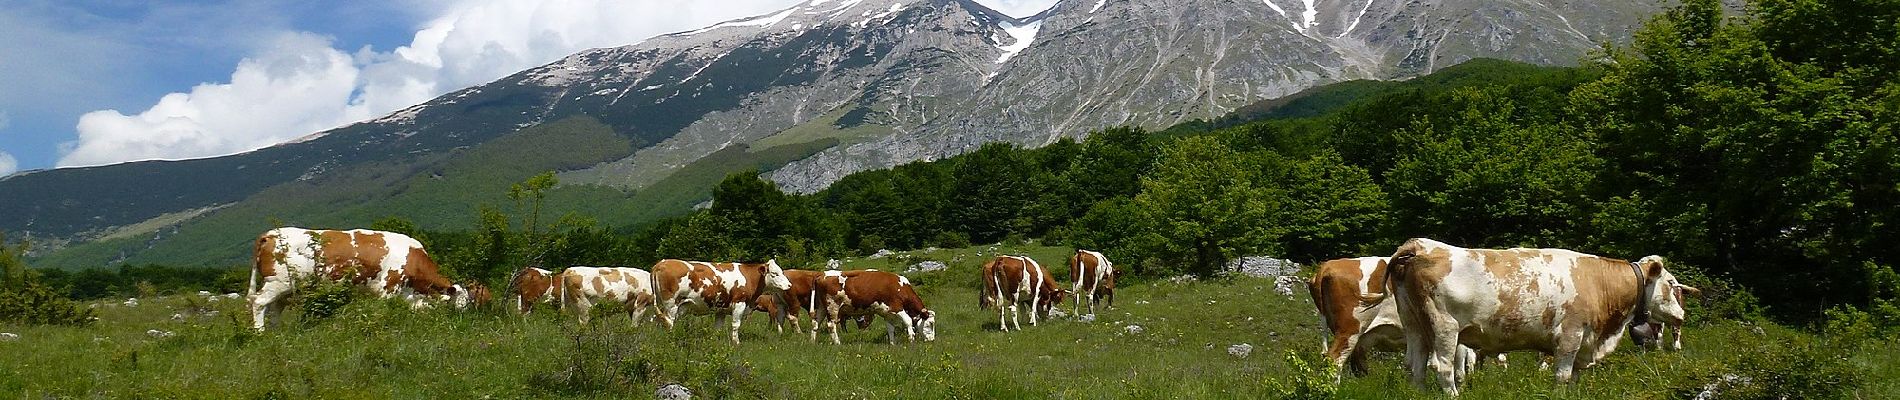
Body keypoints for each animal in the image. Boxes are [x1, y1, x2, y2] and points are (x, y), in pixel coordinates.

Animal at [248, 228, 467, 331]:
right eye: (460, 305)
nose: (463, 322)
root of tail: (270, 234)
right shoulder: (388, 288)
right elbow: (383, 312)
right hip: (278, 282)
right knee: (259, 303)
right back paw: (259, 332)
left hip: (285, 288)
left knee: (275, 308)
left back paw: (276, 332)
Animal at [649, 259, 790, 343]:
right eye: (775, 273)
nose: (789, 285)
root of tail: (661, 263)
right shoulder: (739, 303)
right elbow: (736, 325)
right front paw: (736, 343)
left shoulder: (721, 310)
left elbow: (718, 328)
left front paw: (714, 342)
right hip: (671, 304)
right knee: (669, 321)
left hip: (662, 303)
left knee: (658, 321)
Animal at [1375, 237, 1702, 394]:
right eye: (1671, 284)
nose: (1682, 316)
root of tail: (1420, 245)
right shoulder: (1570, 335)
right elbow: (1562, 375)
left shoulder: (1584, 342)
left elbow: (1575, 377)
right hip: (1444, 327)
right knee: (1442, 367)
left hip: (1415, 325)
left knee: (1415, 367)